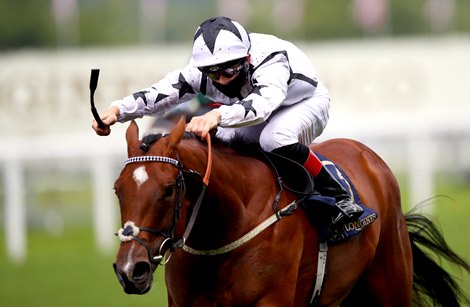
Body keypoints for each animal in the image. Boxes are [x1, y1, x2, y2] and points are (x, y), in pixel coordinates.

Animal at [112, 117, 468, 306]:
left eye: (169, 189)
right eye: (118, 189)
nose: (131, 269)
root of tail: (368, 155)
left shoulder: (270, 299)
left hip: (389, 281)